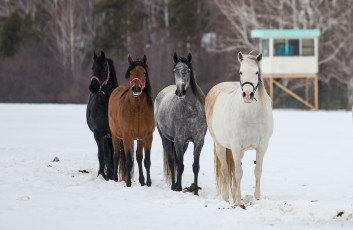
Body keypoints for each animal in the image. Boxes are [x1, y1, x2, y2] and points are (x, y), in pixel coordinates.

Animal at [108, 54, 155, 187]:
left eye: (144, 72)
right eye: (130, 73)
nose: (136, 89)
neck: (137, 109)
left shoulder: (147, 137)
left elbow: (146, 161)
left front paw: (148, 183)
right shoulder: (127, 137)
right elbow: (128, 161)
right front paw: (128, 183)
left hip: (138, 139)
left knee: (138, 157)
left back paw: (142, 181)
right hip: (116, 136)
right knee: (116, 156)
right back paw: (114, 178)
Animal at [154, 53, 206, 195]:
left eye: (188, 71)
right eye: (174, 71)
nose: (180, 91)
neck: (191, 112)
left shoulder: (198, 141)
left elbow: (195, 166)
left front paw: (195, 192)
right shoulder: (178, 140)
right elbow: (180, 165)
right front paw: (177, 188)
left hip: (185, 144)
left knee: (177, 161)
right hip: (166, 139)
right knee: (172, 162)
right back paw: (174, 186)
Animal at [205, 51, 274, 205]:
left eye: (256, 72)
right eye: (240, 72)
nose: (248, 95)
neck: (250, 114)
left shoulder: (262, 146)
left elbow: (257, 170)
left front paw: (257, 197)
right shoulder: (236, 146)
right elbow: (238, 172)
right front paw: (237, 202)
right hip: (220, 145)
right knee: (225, 170)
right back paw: (226, 198)